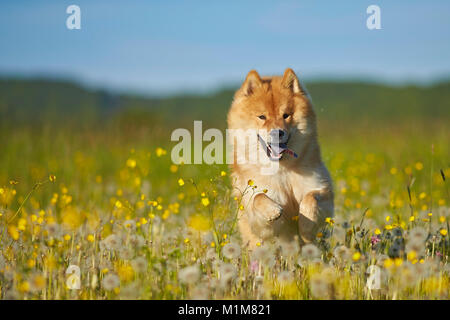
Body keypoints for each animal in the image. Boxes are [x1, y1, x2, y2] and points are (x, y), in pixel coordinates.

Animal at [227, 67, 332, 248]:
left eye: (286, 115)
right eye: (262, 116)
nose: (278, 132)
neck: (283, 171)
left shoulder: (323, 191)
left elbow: (310, 199)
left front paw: (307, 228)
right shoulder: (264, 223)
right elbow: (259, 198)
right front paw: (273, 210)